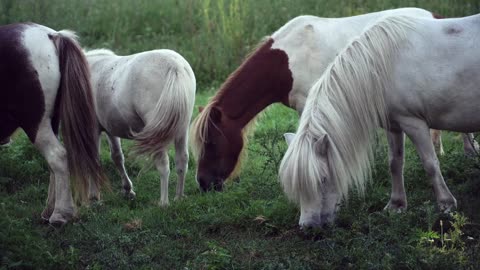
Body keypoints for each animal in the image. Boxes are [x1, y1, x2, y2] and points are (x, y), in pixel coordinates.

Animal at [0, 23, 106, 226]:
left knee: (58, 156)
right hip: (51, 121)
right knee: (53, 164)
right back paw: (50, 210)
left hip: (35, 123)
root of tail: (52, 35)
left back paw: (60, 214)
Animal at [84, 48, 195, 206]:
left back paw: (164, 203)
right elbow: (117, 157)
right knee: (182, 160)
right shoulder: (110, 128)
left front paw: (93, 197)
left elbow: (93, 159)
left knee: (163, 164)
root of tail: (175, 66)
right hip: (182, 129)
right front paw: (127, 190)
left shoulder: (93, 128)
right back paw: (178, 197)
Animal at [280, 13, 480, 228]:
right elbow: (394, 163)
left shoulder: (414, 123)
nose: (307, 227)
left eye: (323, 180)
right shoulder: (394, 125)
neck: (382, 67)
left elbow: (430, 164)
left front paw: (446, 205)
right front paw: (396, 205)